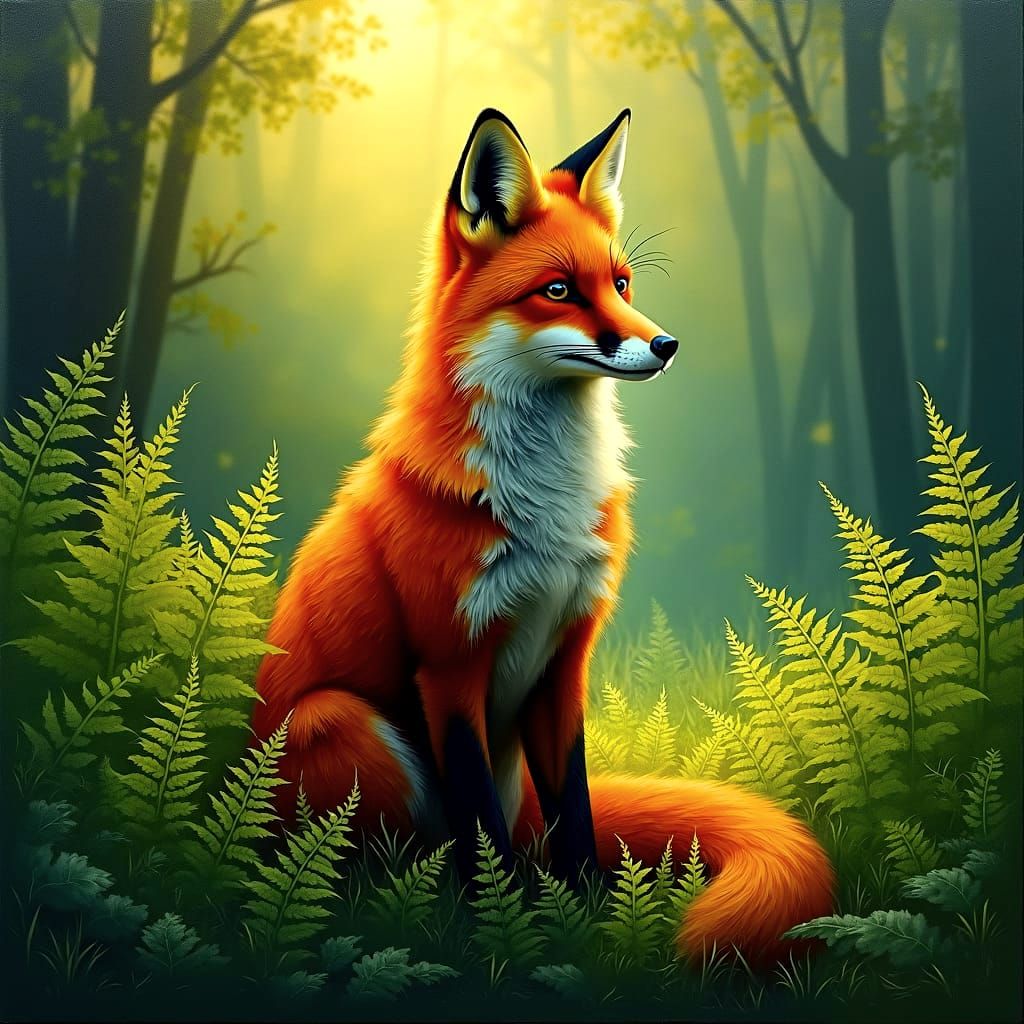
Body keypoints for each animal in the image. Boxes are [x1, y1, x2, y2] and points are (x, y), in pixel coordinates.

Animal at [253, 108, 835, 962]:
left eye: (621, 284)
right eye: (558, 291)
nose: (666, 346)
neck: (544, 512)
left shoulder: (565, 657)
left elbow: (578, 816)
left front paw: (592, 921)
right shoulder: (449, 666)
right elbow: (480, 835)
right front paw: (499, 931)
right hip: (342, 721)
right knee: (391, 861)